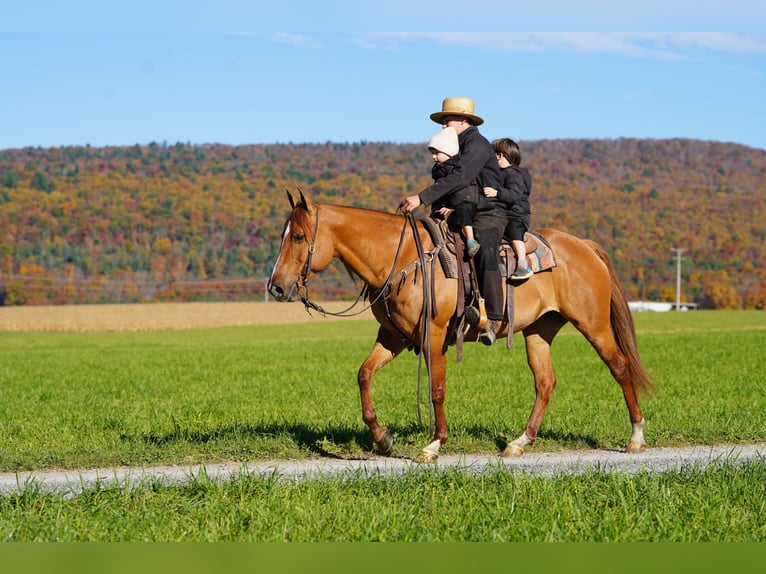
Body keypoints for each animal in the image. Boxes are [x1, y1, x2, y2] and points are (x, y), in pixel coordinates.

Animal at [267, 189, 654, 463]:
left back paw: (635, 437)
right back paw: (519, 442)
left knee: (620, 367)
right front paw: (382, 437)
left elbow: (437, 389)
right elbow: (364, 374)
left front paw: (434, 445)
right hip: (539, 330)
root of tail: (583, 245)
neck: (403, 257)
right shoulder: (392, 336)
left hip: (593, 324)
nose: (276, 287)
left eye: (298, 236)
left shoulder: (435, 335)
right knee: (545, 382)